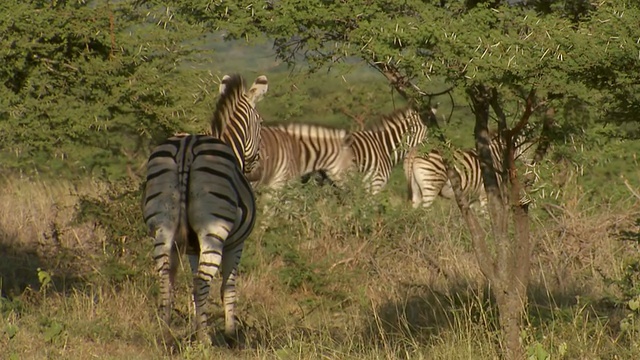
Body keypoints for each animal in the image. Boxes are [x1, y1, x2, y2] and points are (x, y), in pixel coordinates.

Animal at [142, 73, 268, 346]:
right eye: (261, 123)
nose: (257, 164)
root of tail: (187, 147)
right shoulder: (236, 244)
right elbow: (227, 287)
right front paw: (230, 334)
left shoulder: (191, 247)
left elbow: (192, 284)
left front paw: (196, 324)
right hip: (214, 231)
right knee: (202, 279)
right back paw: (205, 339)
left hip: (163, 225)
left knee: (166, 273)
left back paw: (165, 332)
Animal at [402, 130, 536, 210]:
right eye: (528, 145)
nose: (532, 165)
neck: (495, 155)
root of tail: (415, 150)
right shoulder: (486, 192)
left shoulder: (472, 196)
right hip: (431, 185)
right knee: (426, 211)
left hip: (416, 187)